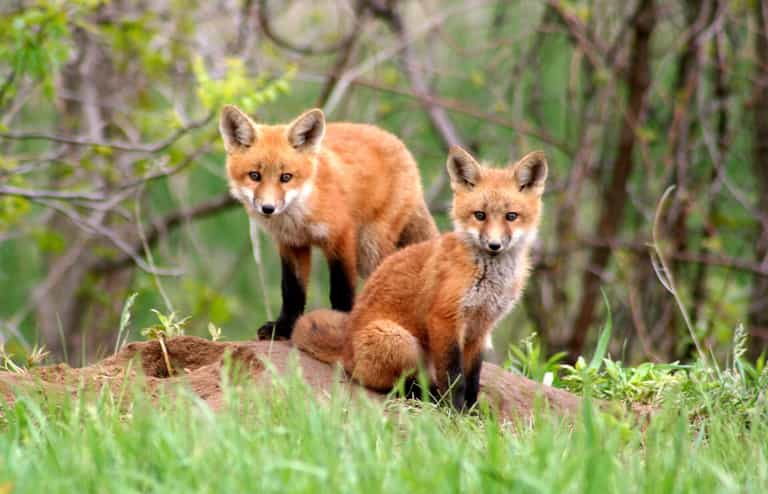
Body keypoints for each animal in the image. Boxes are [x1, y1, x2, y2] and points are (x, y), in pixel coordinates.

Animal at [219, 105, 438, 339]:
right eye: (254, 176)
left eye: (286, 177)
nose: (268, 208)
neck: (299, 216)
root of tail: (399, 144)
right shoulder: (291, 244)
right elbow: (292, 291)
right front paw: (284, 327)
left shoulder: (341, 236)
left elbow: (341, 288)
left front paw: (340, 324)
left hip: (369, 248)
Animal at [292, 146, 547, 409]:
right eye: (480, 215)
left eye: (511, 216)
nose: (494, 245)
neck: (488, 277)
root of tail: (344, 349)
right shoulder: (445, 318)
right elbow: (454, 378)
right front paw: (456, 411)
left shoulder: (481, 328)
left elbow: (472, 378)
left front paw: (472, 409)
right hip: (400, 341)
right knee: (388, 383)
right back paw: (427, 395)